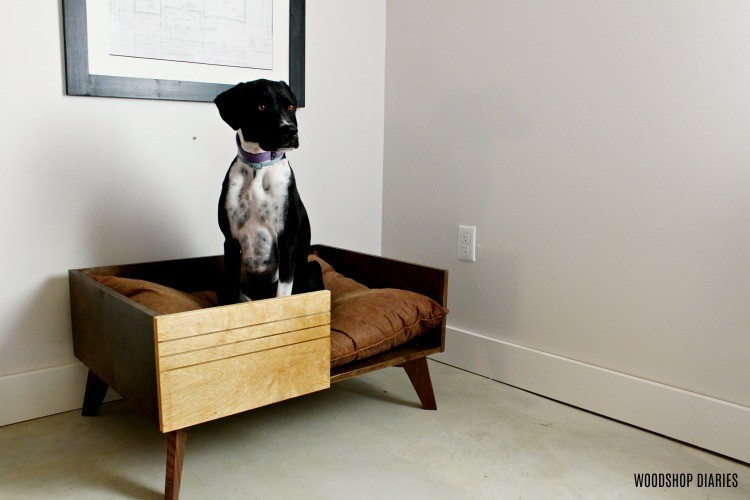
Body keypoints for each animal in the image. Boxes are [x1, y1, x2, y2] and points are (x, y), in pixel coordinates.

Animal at [216, 80, 324, 302]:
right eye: (261, 106)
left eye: (290, 106)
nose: (290, 130)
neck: (258, 165)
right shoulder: (230, 242)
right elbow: (232, 296)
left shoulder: (287, 240)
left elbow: (283, 295)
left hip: (311, 267)